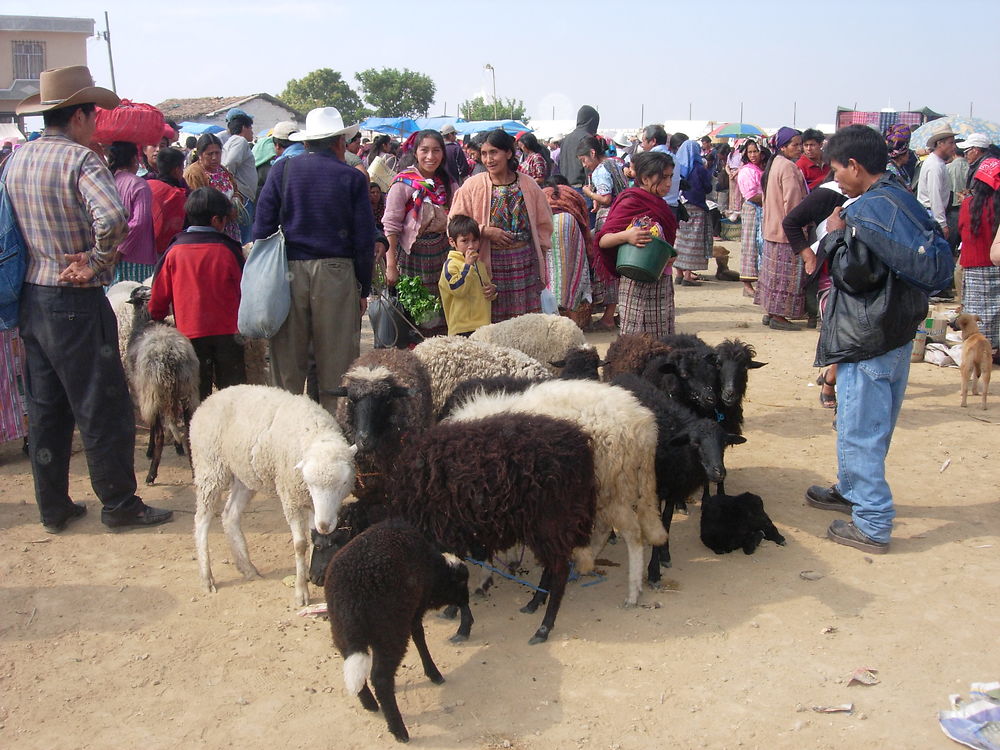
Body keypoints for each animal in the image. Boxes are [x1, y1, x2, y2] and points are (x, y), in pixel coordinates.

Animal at [189, 384, 358, 608]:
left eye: (343, 483)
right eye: (310, 483)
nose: (324, 525)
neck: (315, 431)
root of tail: (210, 398)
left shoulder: (311, 503)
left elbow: (313, 536)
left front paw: (309, 571)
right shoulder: (291, 497)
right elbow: (300, 544)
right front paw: (301, 591)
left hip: (245, 476)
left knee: (229, 515)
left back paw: (247, 568)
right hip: (210, 467)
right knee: (202, 520)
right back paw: (206, 577)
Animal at [326, 524, 470, 748]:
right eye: (461, 583)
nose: (467, 600)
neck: (434, 567)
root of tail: (350, 599)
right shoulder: (416, 607)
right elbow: (419, 635)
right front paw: (433, 673)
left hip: (341, 631)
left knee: (351, 664)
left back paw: (369, 703)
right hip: (390, 631)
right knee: (381, 678)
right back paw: (398, 730)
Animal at [450, 378, 668, 608]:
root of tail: (643, 425)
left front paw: (484, 579)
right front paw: (510, 559)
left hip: (611, 484)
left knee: (632, 533)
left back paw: (632, 591)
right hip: (609, 488)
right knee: (605, 528)